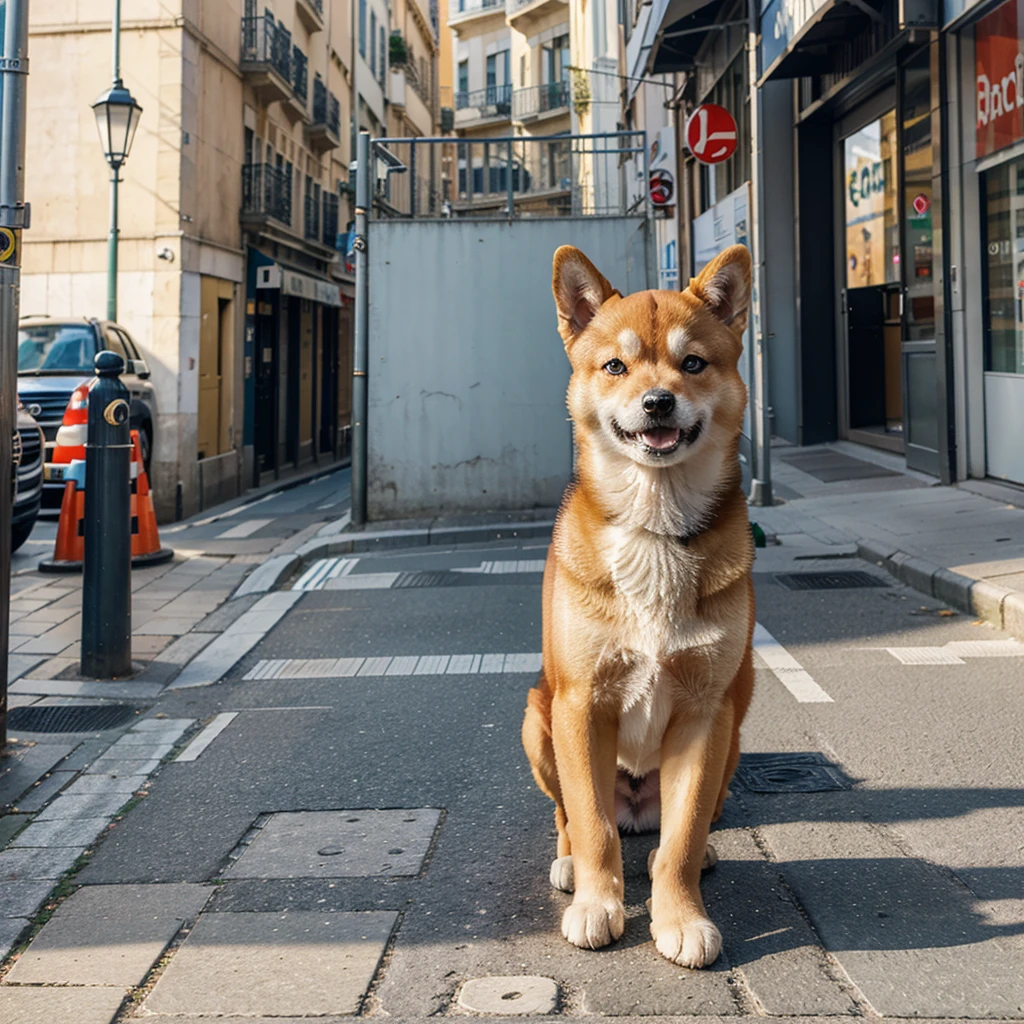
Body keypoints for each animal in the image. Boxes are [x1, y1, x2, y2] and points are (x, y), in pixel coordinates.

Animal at [524, 243, 757, 962]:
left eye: (693, 363)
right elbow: (591, 824)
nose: (657, 402)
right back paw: (570, 862)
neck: (654, 527)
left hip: (735, 734)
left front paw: (680, 916)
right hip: (537, 718)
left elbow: (680, 837)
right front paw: (599, 903)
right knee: (572, 815)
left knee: (682, 826)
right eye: (615, 366)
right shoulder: (579, 706)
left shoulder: (707, 713)